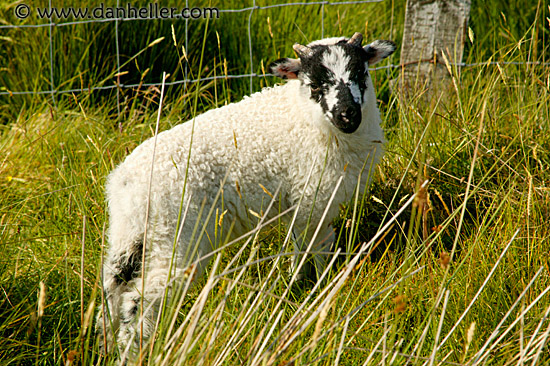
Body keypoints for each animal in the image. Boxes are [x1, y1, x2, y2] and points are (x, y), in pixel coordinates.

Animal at [97, 32, 394, 360]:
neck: (303, 116)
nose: (347, 115)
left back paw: (105, 345)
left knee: (112, 286)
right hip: (175, 236)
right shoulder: (313, 199)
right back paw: (135, 351)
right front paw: (321, 285)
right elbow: (316, 249)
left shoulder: (302, 203)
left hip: (130, 235)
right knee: (140, 299)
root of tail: (126, 184)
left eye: (360, 73)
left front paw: (298, 284)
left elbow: (300, 248)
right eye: (315, 85)